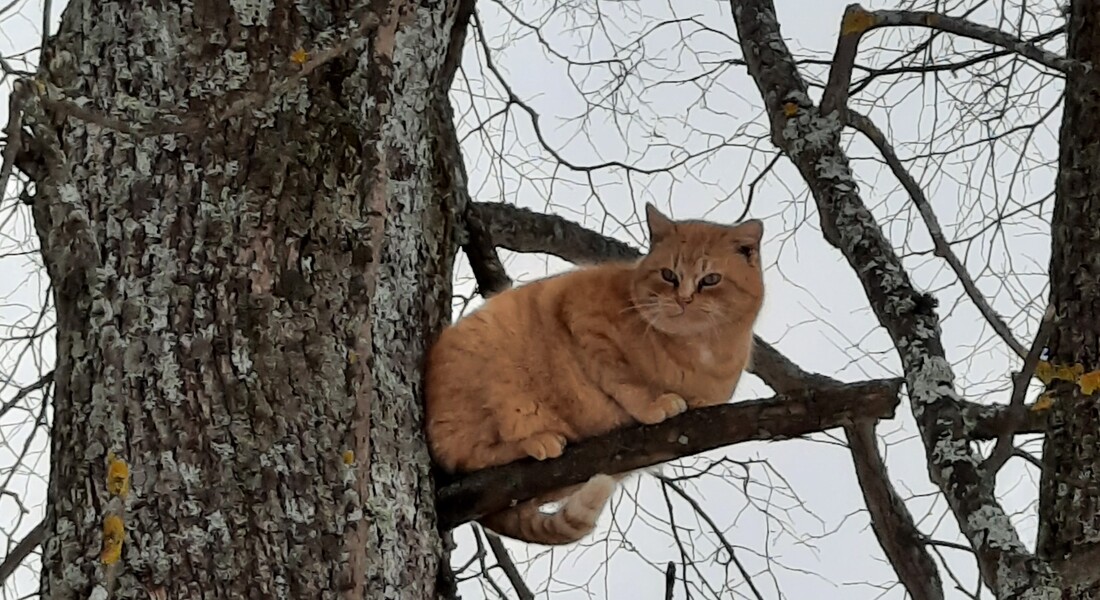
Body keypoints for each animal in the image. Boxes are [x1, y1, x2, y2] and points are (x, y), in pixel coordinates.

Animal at [422, 203, 765, 546]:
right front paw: (654, 404)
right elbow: (624, 380)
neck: (697, 349)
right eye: (668, 275)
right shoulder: (587, 324)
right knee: (468, 457)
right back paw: (539, 440)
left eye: (711, 280)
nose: (684, 299)